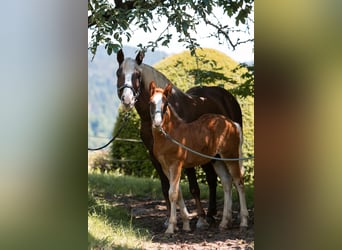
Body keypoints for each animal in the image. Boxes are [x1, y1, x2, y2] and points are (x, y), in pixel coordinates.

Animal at [148, 82, 247, 234]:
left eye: (165, 104)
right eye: (151, 103)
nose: (157, 123)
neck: (170, 134)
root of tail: (232, 123)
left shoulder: (176, 165)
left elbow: (173, 193)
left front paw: (171, 228)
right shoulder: (166, 167)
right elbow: (178, 193)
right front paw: (185, 225)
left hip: (230, 156)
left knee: (239, 182)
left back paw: (243, 222)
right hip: (217, 160)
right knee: (226, 182)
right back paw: (224, 222)